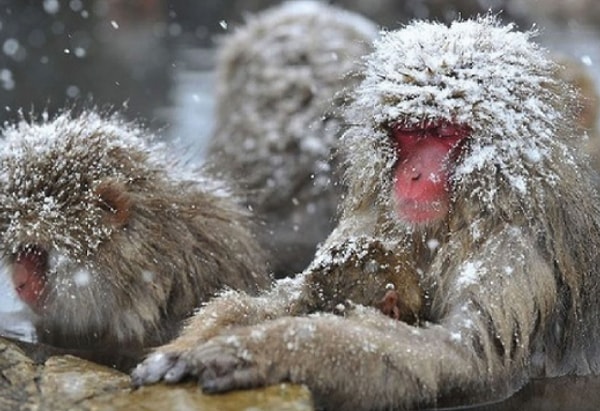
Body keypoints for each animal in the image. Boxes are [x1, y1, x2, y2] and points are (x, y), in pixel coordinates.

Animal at [132, 16, 600, 411]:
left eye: (442, 132)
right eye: (408, 132)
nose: (413, 175)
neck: (459, 218)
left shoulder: (515, 255)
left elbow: (463, 361)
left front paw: (267, 347)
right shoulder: (379, 217)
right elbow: (299, 293)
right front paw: (190, 343)